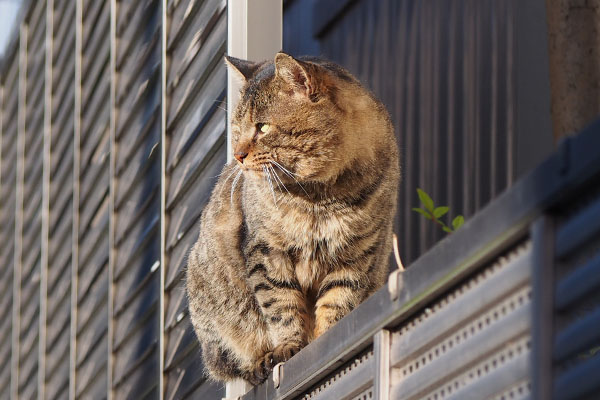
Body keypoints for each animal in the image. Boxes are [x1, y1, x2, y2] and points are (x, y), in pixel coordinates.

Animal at [185, 53, 400, 384]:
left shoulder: (359, 252)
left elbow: (338, 299)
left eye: (262, 128)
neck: (322, 197)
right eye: (236, 129)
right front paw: (288, 345)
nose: (238, 155)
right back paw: (258, 361)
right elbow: (280, 304)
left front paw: (327, 336)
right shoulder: (266, 252)